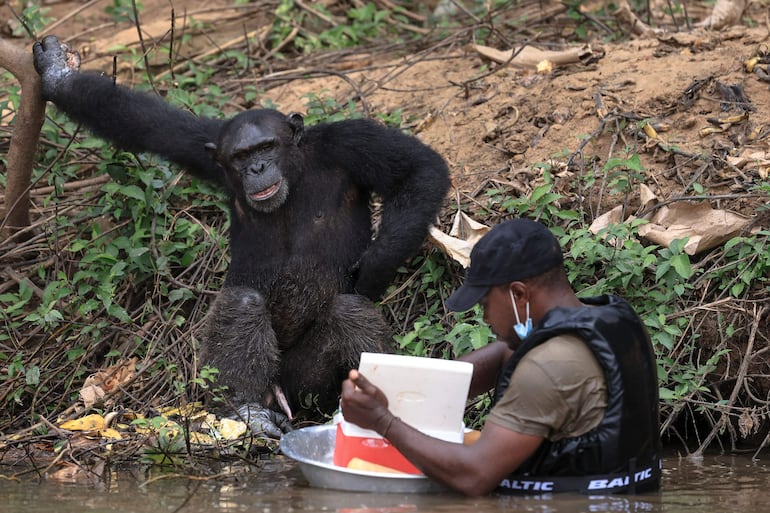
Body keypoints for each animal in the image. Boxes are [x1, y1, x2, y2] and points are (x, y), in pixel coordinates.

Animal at [34, 35, 450, 436]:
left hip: (307, 385)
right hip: (263, 380)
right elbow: (137, 120)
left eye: (266, 146)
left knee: (348, 312)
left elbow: (418, 169)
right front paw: (57, 73)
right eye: (240, 157)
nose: (257, 168)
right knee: (243, 304)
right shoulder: (202, 146)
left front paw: (375, 266)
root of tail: (280, 393)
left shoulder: (350, 140)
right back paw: (247, 411)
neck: (297, 170)